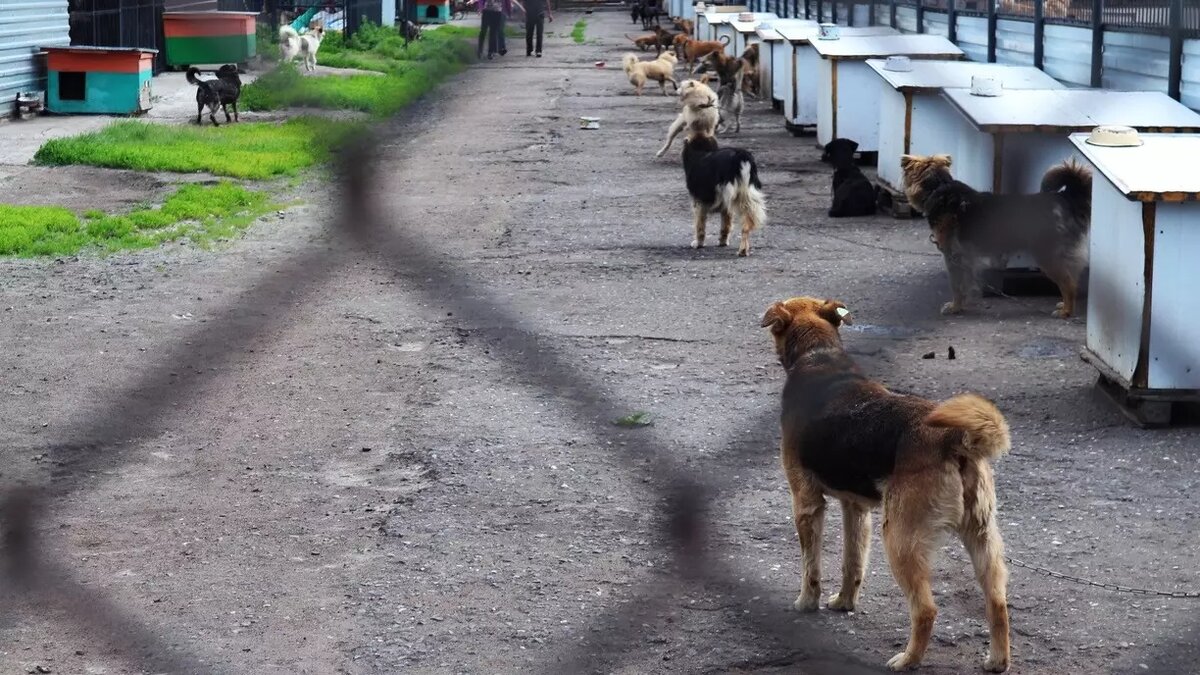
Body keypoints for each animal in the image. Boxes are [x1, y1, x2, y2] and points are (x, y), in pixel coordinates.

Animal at [758, 295, 1012, 672]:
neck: (817, 355)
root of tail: (954, 438)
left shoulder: (806, 502)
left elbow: (810, 567)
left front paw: (806, 602)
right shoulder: (855, 508)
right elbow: (852, 563)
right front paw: (844, 602)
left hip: (899, 538)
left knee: (926, 609)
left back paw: (908, 660)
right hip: (981, 537)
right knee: (997, 602)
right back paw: (997, 660)